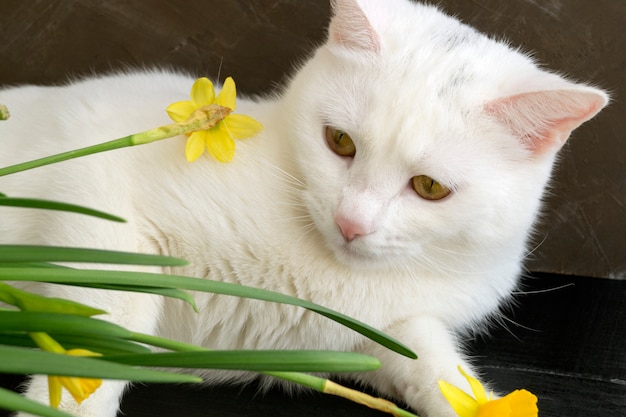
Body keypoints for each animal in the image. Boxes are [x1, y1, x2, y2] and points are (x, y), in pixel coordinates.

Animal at [0, 0, 604, 416]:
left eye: (430, 187)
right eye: (339, 142)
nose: (351, 222)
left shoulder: (389, 332)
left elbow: (443, 375)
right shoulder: (100, 198)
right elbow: (99, 344)